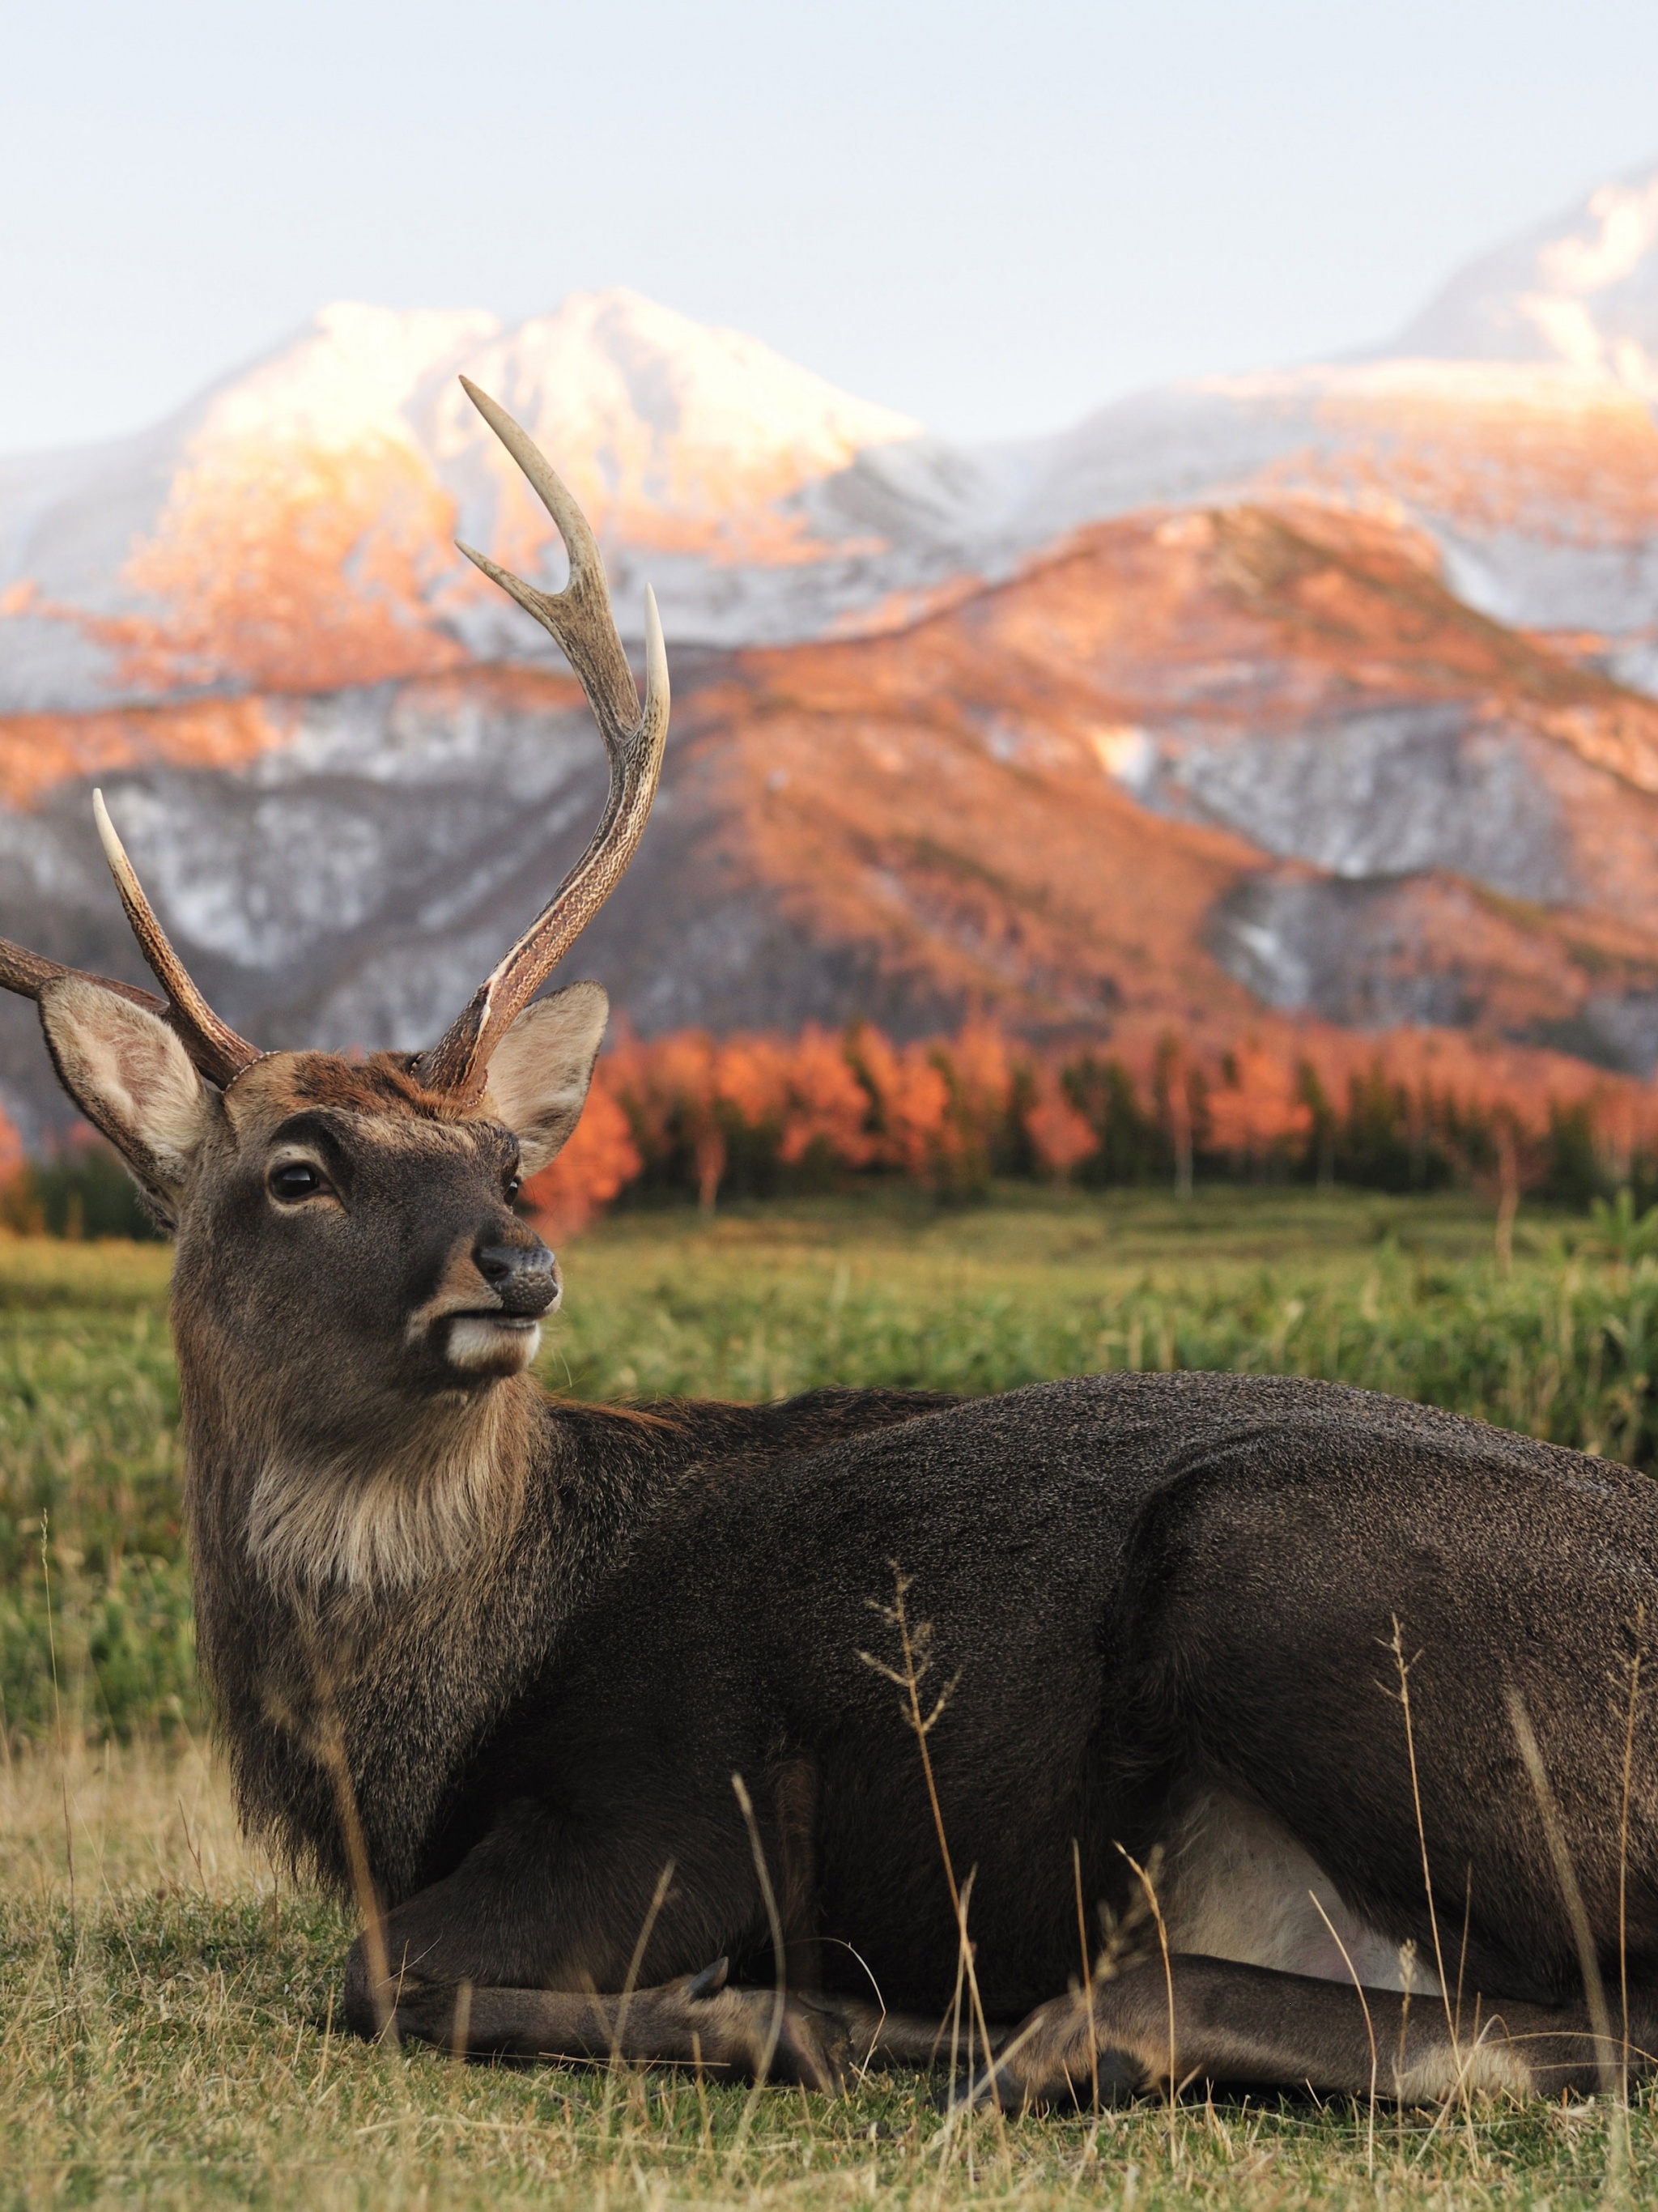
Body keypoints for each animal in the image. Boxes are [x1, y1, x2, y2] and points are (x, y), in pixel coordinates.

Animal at [3, 376, 1658, 2105]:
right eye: (297, 1170)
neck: (411, 1743)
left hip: (1282, 1569)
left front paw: (750, 2007)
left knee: (1569, 2017)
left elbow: (378, 1971)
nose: (515, 1265)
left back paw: (945, 2023)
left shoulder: (679, 1801)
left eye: (502, 1164)